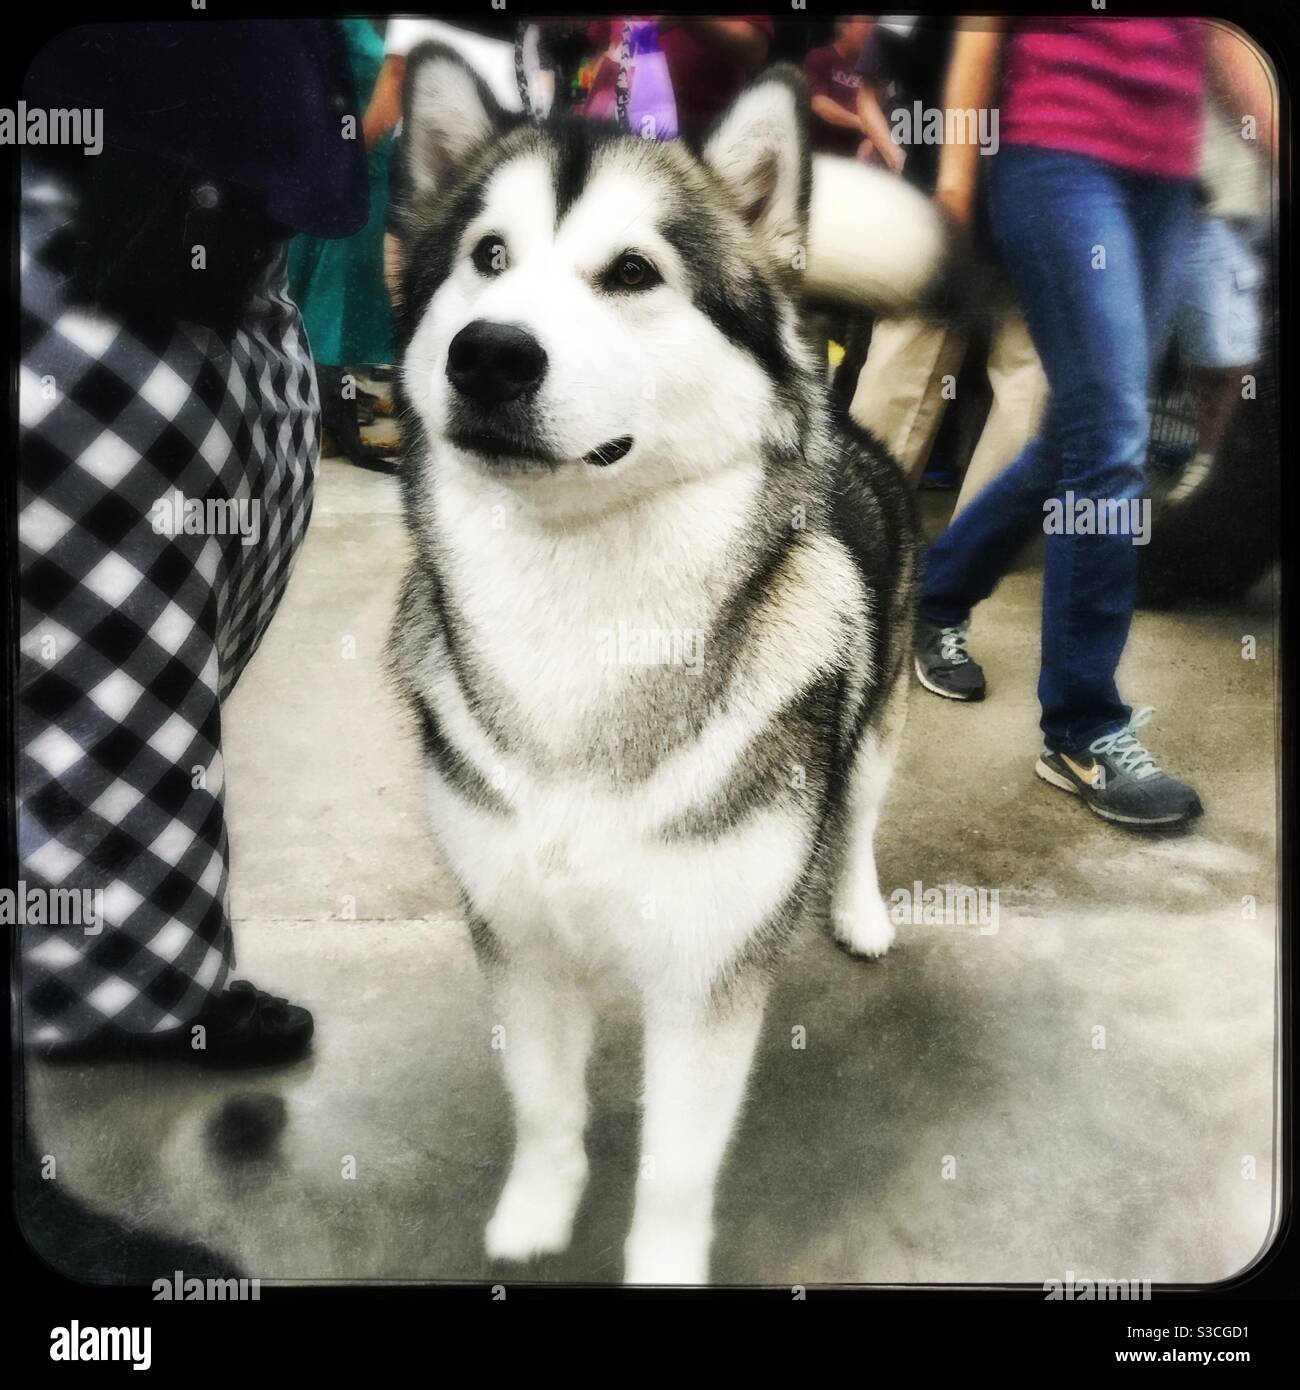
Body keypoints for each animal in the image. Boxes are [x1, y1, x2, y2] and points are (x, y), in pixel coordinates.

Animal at [389, 40, 934, 1278]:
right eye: (487, 257)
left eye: (632, 272)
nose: (488, 352)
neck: (579, 606)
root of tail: (849, 424)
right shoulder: (517, 937)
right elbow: (544, 1105)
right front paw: (535, 1214)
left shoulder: (706, 976)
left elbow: (679, 1166)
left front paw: (662, 1262)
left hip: (876, 713)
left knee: (861, 809)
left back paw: (860, 907)